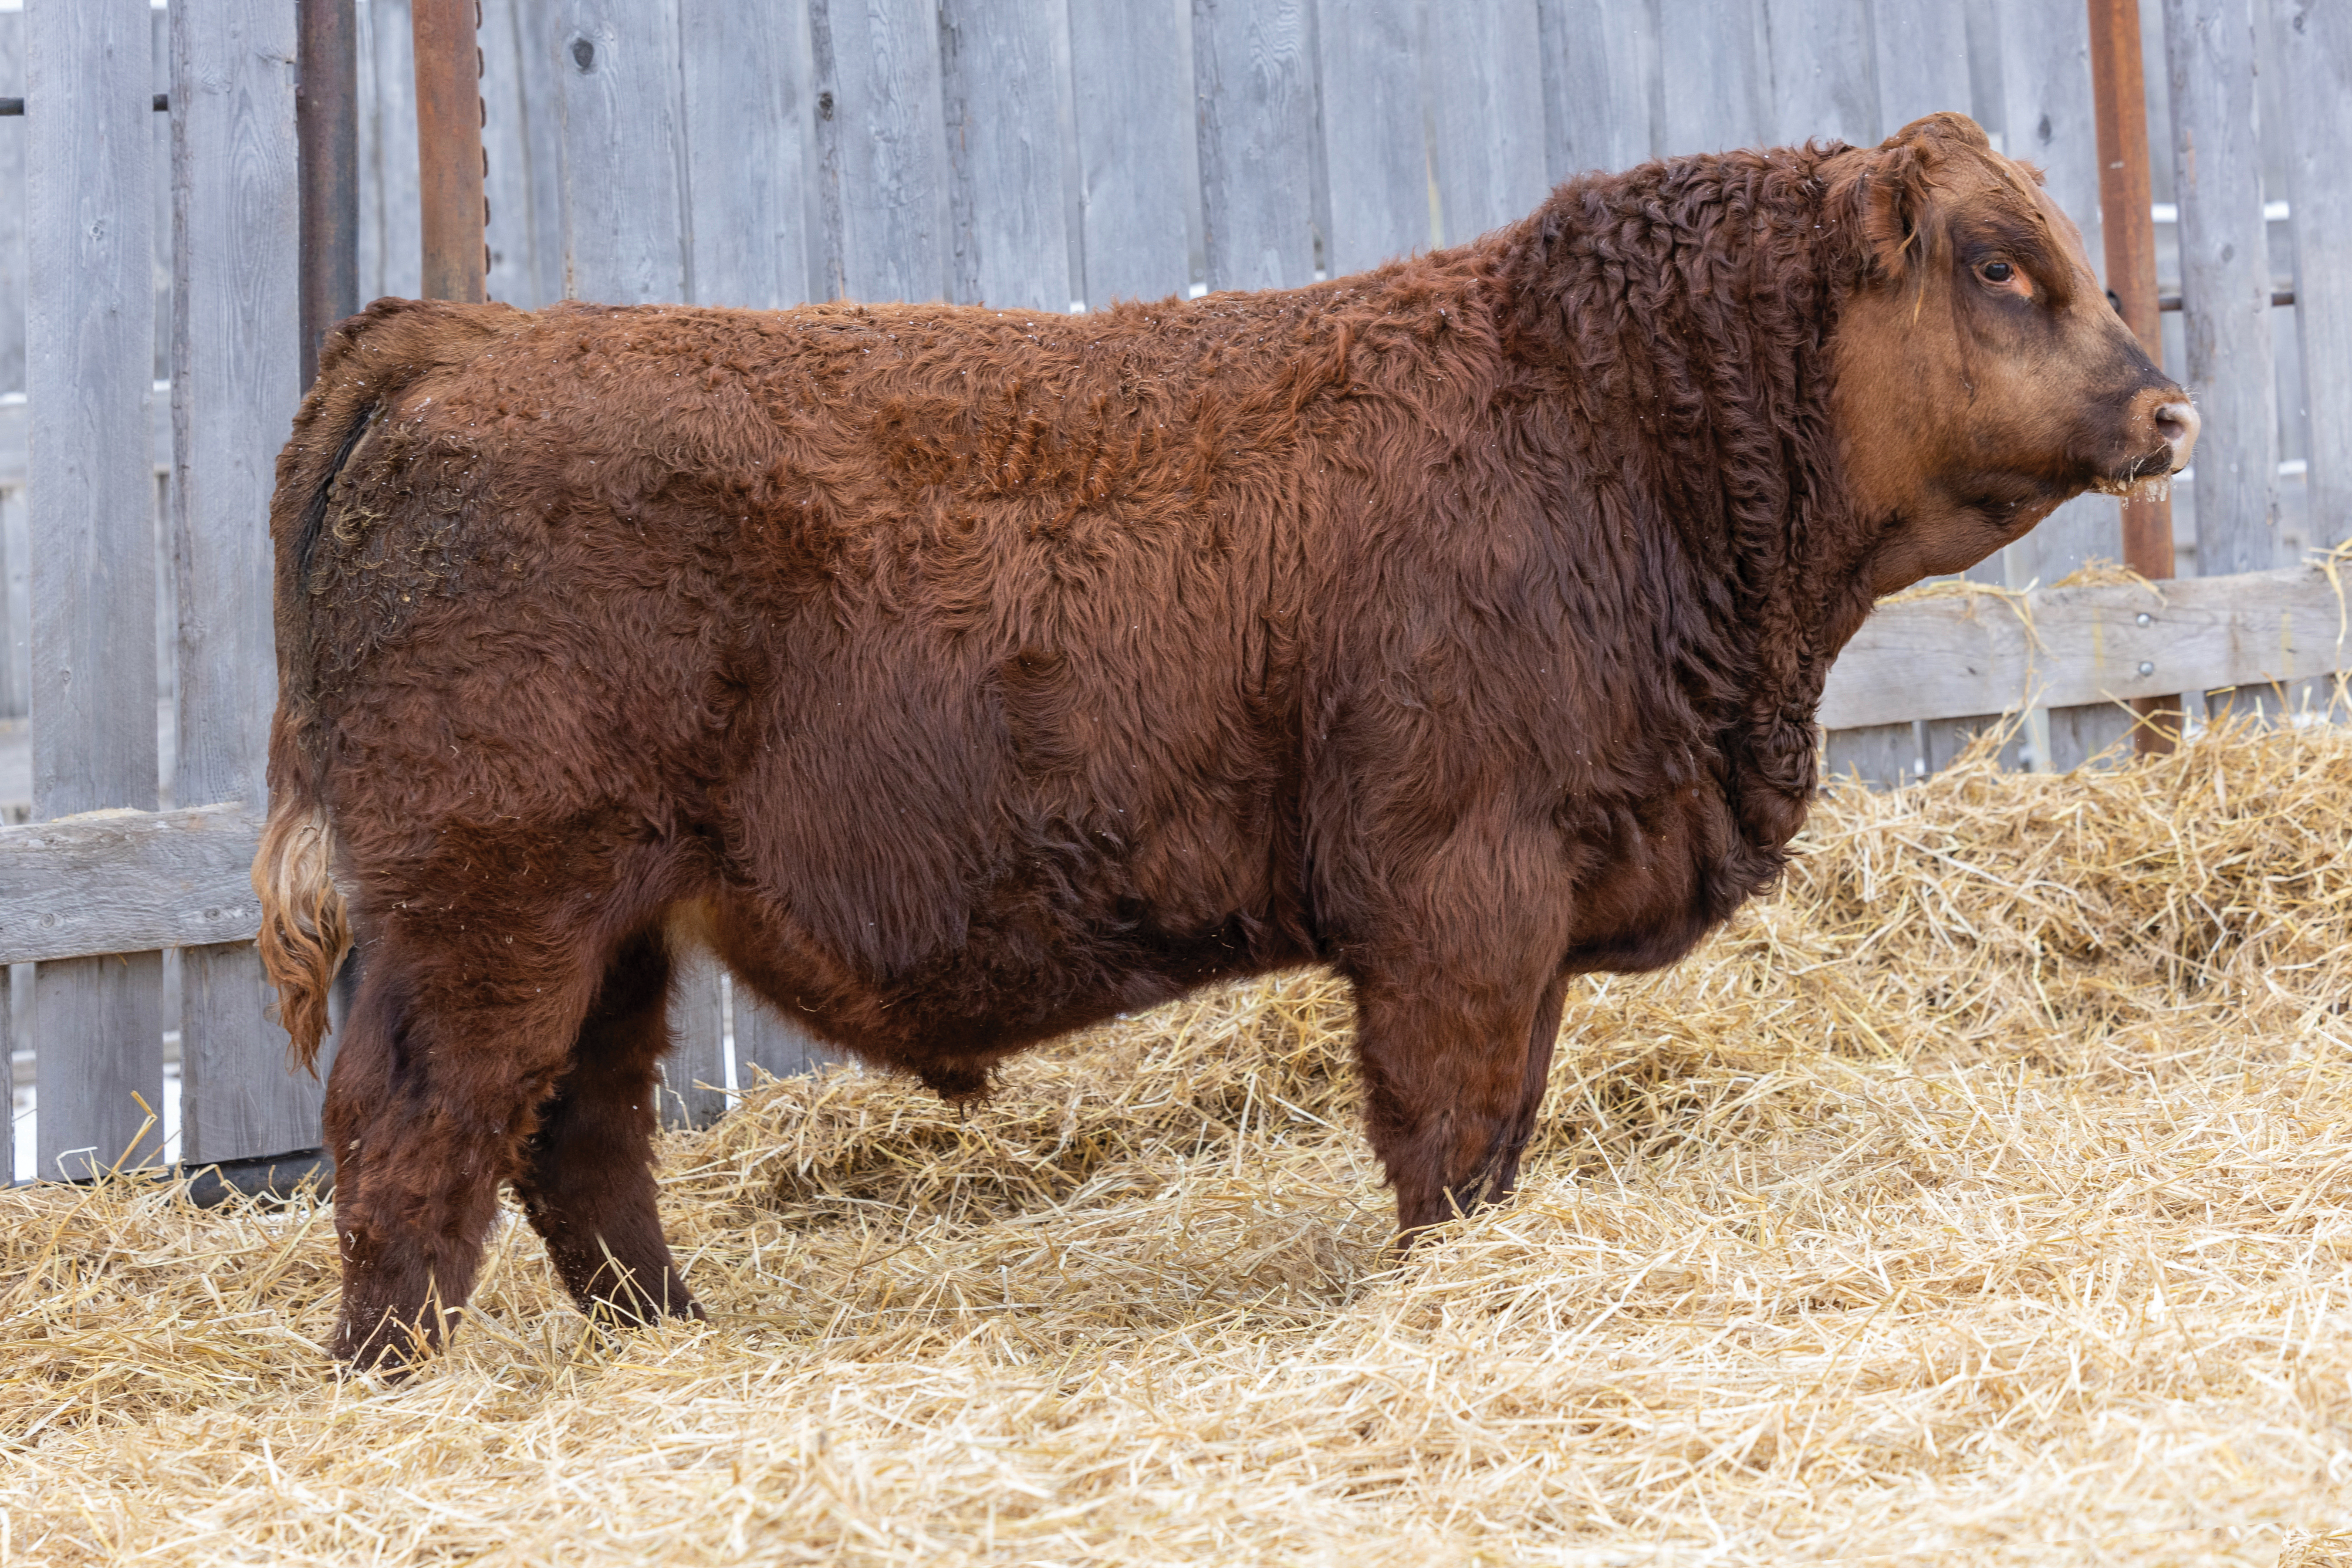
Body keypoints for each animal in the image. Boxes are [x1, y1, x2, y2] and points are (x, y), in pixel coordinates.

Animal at [254, 112, 2197, 1372]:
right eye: (2002, 267)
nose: (2169, 407)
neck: (1607, 425)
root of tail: (461, 337)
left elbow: (1499, 1126)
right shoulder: (1461, 898)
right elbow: (1451, 1129)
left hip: (613, 928)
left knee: (579, 1140)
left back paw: (665, 1338)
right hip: (488, 910)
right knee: (415, 1126)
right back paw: (393, 1371)